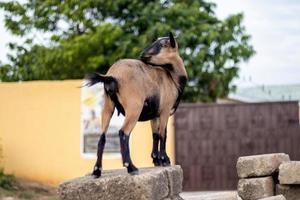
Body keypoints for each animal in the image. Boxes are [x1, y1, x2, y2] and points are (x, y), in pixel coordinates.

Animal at [85, 32, 188, 177]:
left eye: (163, 44)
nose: (142, 54)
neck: (172, 79)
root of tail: (112, 76)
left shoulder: (154, 115)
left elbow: (155, 135)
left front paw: (156, 160)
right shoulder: (165, 110)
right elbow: (163, 134)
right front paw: (165, 160)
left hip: (107, 106)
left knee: (102, 137)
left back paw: (97, 171)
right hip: (134, 107)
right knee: (123, 133)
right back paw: (131, 167)